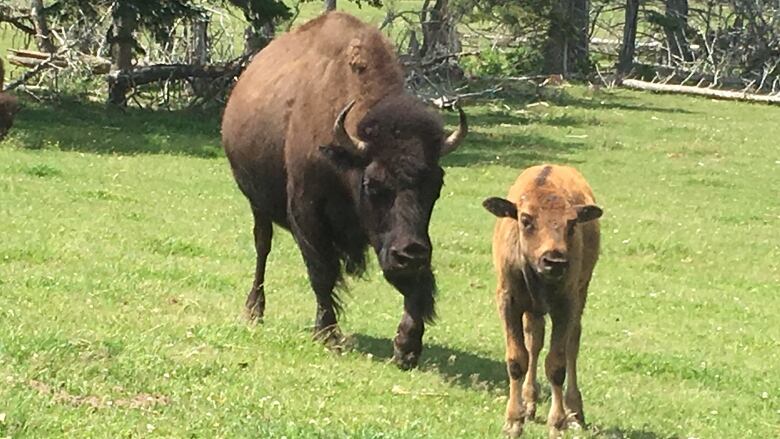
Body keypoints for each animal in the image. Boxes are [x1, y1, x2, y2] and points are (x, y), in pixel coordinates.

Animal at [219, 12, 466, 370]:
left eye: (436, 185)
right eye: (373, 184)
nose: (411, 253)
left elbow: (414, 283)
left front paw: (407, 347)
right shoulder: (307, 214)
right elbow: (322, 272)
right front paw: (328, 335)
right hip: (258, 205)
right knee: (262, 246)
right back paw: (254, 310)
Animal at [482, 166, 604, 439]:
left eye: (572, 223)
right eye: (526, 220)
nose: (554, 260)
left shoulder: (566, 306)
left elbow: (557, 364)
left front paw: (557, 422)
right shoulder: (508, 302)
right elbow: (517, 359)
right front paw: (513, 421)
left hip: (581, 294)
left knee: (571, 345)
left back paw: (574, 412)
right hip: (533, 311)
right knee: (534, 342)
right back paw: (529, 403)